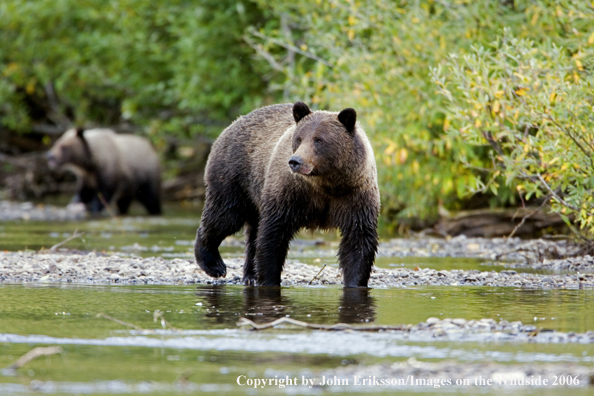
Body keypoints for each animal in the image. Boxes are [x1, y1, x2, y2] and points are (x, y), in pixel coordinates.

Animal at [194, 102, 380, 288]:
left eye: (319, 140)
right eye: (299, 139)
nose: (295, 161)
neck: (326, 185)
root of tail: (233, 123)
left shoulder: (355, 195)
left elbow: (358, 239)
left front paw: (355, 282)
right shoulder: (290, 193)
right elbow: (274, 232)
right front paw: (269, 279)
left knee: (250, 230)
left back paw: (250, 275)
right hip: (235, 177)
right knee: (225, 216)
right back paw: (214, 264)